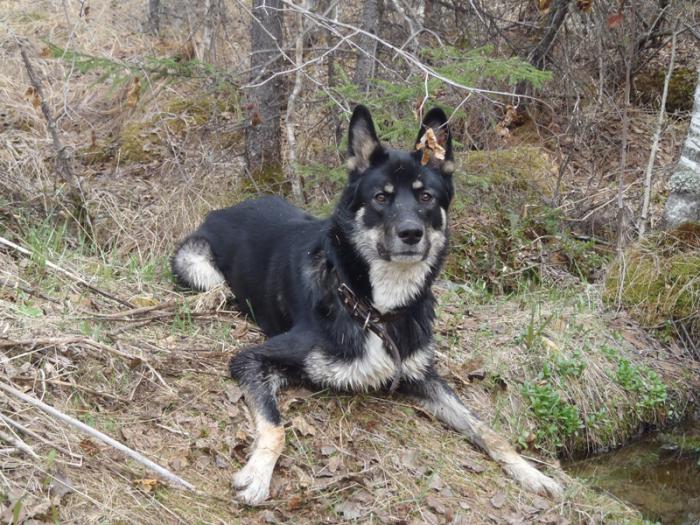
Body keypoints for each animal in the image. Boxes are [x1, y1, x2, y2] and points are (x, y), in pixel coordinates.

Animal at [171, 106, 564, 504]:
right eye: (380, 197)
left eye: (426, 197)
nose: (411, 234)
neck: (374, 308)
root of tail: (225, 208)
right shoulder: (252, 359)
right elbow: (276, 425)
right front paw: (258, 474)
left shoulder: (423, 375)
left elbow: (485, 429)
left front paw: (531, 472)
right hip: (197, 267)